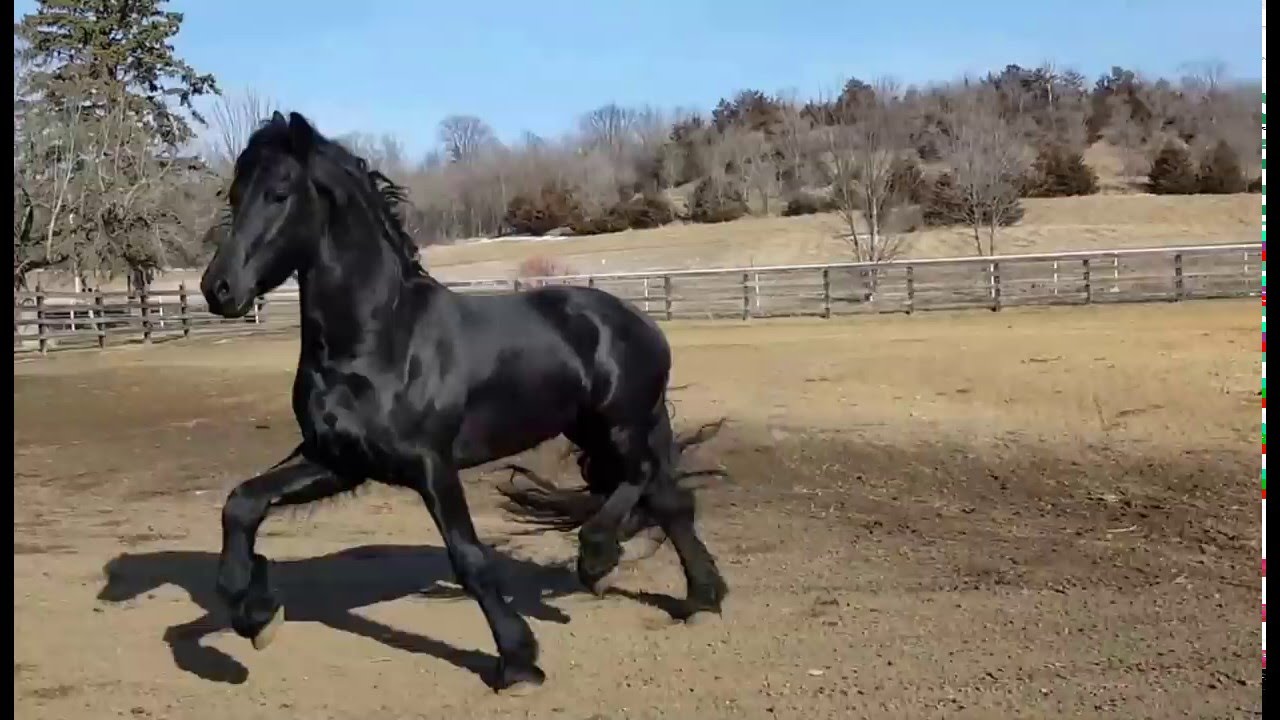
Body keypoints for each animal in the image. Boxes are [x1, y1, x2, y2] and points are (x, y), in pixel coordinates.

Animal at [197, 111, 728, 694]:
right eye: (234, 193)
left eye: (279, 192)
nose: (217, 289)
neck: (377, 342)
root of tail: (637, 320)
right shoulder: (339, 460)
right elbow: (242, 503)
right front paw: (255, 614)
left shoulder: (432, 465)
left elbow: (469, 558)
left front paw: (518, 661)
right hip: (596, 429)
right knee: (668, 500)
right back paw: (701, 599)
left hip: (622, 423)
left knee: (642, 482)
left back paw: (597, 560)